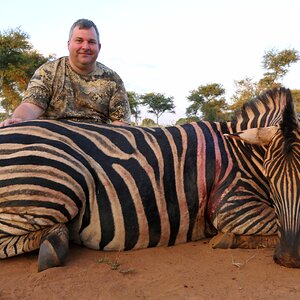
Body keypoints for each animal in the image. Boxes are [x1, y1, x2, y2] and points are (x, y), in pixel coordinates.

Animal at [0, 87, 296, 272]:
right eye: (270, 175)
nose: (290, 258)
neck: (240, 152)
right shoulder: (233, 205)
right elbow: (271, 225)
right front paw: (228, 238)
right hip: (59, 181)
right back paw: (53, 245)